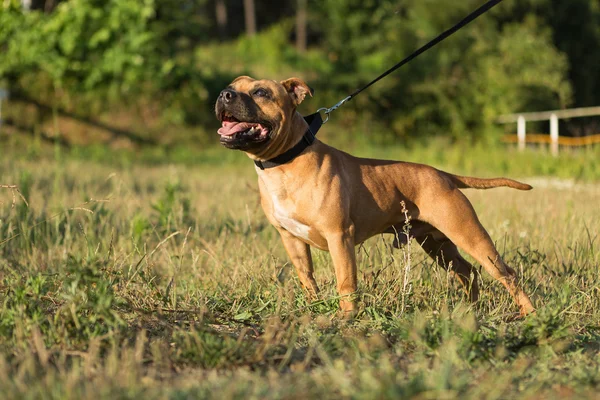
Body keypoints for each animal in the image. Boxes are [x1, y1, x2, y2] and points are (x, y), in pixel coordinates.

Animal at [216, 76, 536, 318]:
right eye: (233, 85)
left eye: (261, 92)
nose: (224, 94)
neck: (285, 162)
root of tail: (443, 174)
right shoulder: (291, 239)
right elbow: (307, 279)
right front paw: (314, 308)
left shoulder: (339, 237)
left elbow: (346, 283)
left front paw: (347, 318)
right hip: (438, 244)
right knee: (467, 272)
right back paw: (470, 310)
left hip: (469, 234)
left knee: (506, 273)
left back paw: (530, 314)